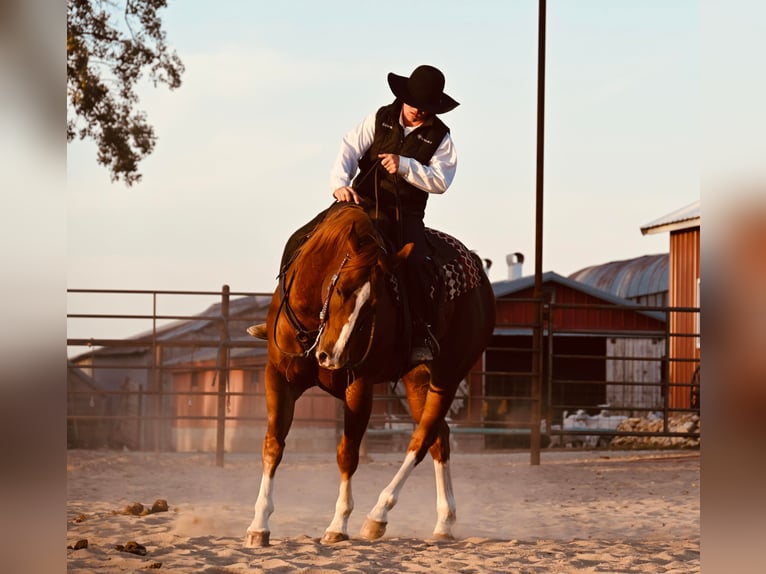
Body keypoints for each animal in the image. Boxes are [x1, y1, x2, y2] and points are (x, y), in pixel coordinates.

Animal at [246, 204, 498, 548]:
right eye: (339, 289)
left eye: (375, 306)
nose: (331, 357)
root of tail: (480, 279)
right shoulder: (278, 377)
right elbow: (273, 445)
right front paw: (258, 525)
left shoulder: (359, 386)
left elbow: (347, 453)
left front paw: (338, 524)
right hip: (418, 380)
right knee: (440, 437)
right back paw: (444, 522)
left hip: (447, 376)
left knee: (421, 439)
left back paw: (378, 516)